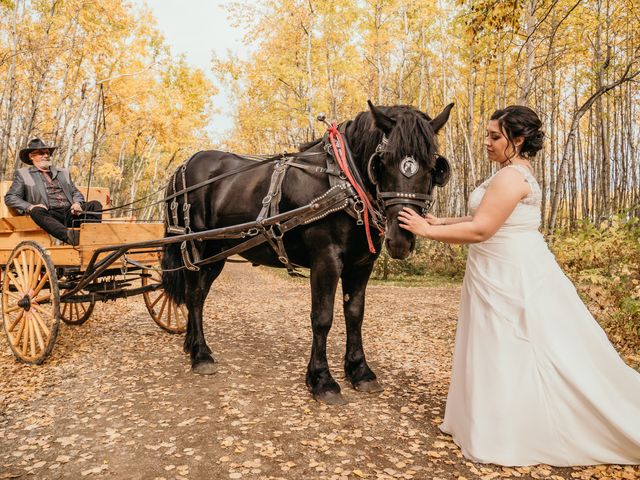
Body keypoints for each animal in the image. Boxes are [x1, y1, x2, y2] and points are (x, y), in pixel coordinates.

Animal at [165, 102, 456, 404]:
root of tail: (183, 166)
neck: (342, 182)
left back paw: (191, 344)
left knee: (198, 295)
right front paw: (322, 380)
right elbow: (322, 317)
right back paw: (201, 355)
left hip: (217, 253)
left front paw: (360, 371)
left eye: (434, 167)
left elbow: (355, 314)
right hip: (196, 247)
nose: (400, 239)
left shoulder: (362, 264)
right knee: (194, 296)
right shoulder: (325, 260)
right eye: (381, 163)